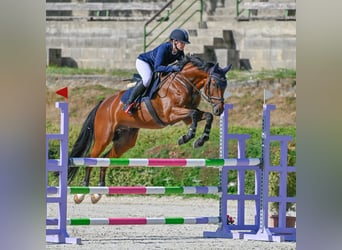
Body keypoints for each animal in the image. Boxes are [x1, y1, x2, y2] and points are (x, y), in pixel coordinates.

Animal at [67, 54, 232, 203]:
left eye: (225, 86)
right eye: (215, 84)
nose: (219, 110)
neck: (184, 83)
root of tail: (103, 103)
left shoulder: (185, 117)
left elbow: (205, 116)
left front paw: (200, 140)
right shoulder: (170, 114)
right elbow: (193, 114)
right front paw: (186, 137)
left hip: (125, 141)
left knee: (105, 158)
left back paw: (98, 192)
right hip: (103, 137)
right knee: (91, 158)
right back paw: (81, 192)